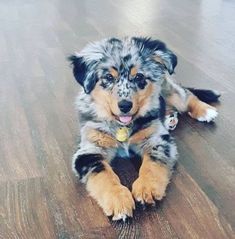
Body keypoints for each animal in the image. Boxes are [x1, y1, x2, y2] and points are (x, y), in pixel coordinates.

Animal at [69, 36, 219, 221]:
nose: (125, 106)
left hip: (169, 89)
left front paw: (147, 188)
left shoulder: (158, 139)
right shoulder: (90, 148)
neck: (123, 125)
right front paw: (118, 199)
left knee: (186, 95)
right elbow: (103, 174)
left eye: (139, 77)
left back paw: (205, 111)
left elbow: (152, 164)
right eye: (108, 77)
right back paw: (170, 118)